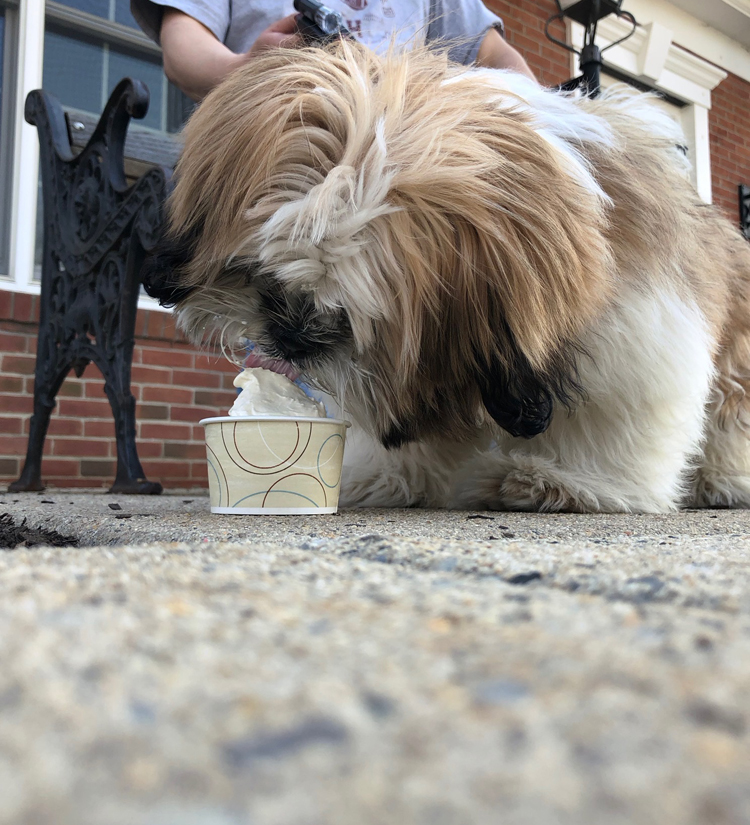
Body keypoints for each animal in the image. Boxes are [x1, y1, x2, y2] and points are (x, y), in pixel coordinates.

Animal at [145, 43, 750, 516]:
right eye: (258, 272)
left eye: (353, 312)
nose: (293, 335)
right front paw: (388, 477)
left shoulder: (638, 329)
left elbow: (612, 412)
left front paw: (561, 481)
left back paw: (720, 482)